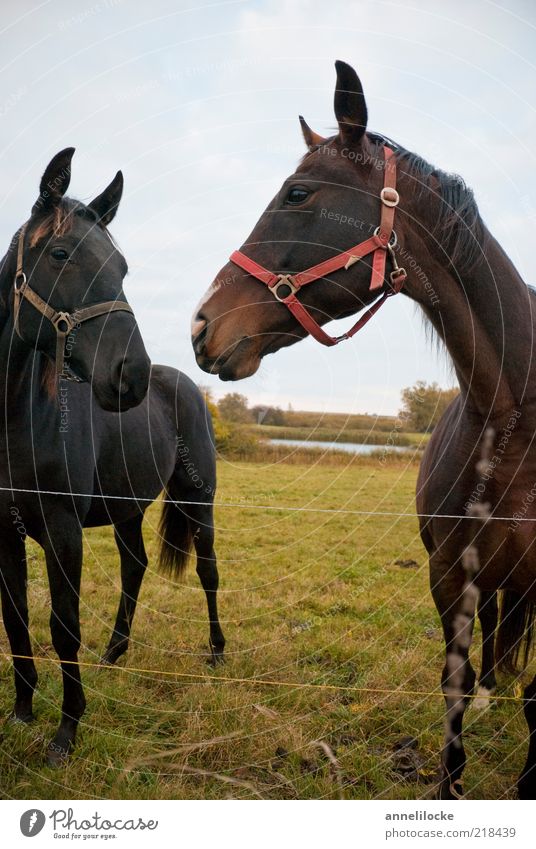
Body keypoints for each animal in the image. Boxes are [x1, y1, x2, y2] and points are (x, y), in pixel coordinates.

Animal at [0, 149, 222, 764]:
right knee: (134, 566)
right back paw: (115, 652)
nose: (132, 376)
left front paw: (66, 731)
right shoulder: (2, 532)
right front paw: (22, 710)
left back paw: (217, 652)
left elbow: (63, 625)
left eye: (122, 267)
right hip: (127, 507)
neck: (18, 416)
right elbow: (16, 621)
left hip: (197, 500)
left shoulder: (62, 529)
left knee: (208, 571)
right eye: (58, 254)